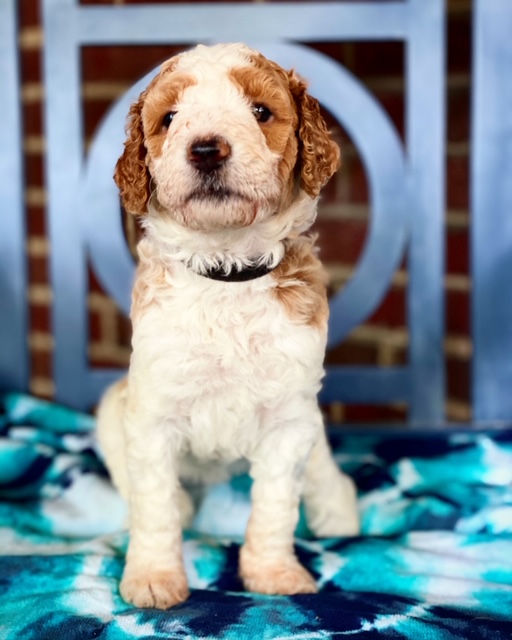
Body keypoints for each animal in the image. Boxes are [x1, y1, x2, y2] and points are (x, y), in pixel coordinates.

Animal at [97, 42, 360, 610]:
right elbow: (154, 506)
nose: (206, 150)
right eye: (170, 118)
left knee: (321, 466)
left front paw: (273, 575)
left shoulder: (288, 419)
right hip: (114, 408)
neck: (227, 271)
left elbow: (276, 505)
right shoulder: (151, 412)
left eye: (260, 111)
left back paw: (338, 509)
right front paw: (153, 578)